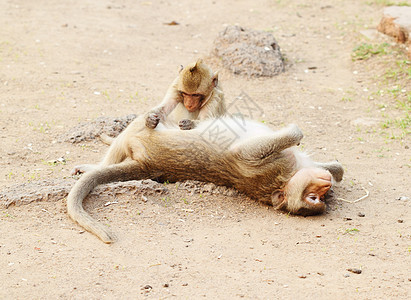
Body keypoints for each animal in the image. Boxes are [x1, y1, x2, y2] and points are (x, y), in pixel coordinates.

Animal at [67, 116, 344, 243]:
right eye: (313, 197)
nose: (326, 186)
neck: (284, 181)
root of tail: (148, 165)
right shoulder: (276, 168)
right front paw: (336, 170)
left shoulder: (267, 169)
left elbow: (248, 153)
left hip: (140, 137)